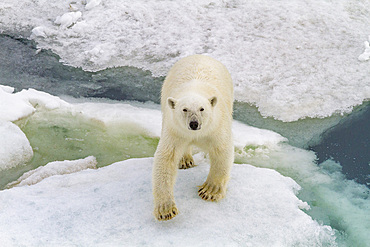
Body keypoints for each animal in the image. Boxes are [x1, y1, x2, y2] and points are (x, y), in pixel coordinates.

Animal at [151, 53, 233, 220]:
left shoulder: (216, 125)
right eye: (185, 109)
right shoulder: (175, 129)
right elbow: (166, 157)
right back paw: (185, 160)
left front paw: (209, 191)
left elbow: (221, 150)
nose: (194, 123)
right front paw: (166, 210)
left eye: (202, 109)